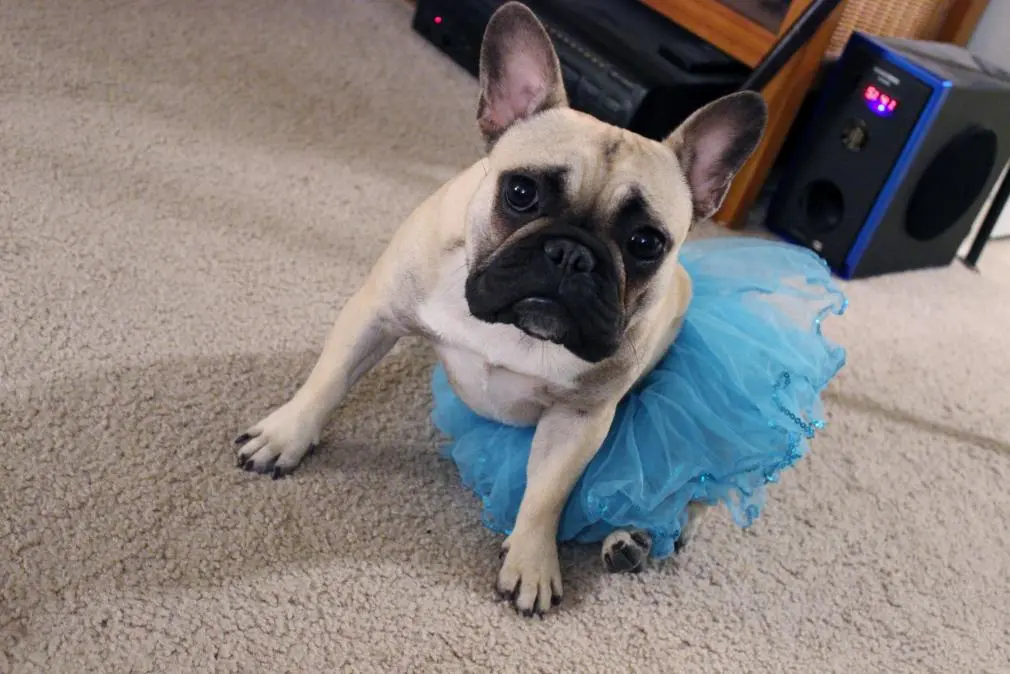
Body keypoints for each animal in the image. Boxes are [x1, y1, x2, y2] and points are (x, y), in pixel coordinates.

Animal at [234, 1, 768, 616]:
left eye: (645, 243)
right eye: (520, 192)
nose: (571, 254)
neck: (513, 329)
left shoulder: (578, 419)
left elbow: (547, 494)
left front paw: (532, 561)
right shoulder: (376, 314)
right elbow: (329, 380)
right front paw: (286, 436)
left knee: (689, 486)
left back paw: (635, 535)